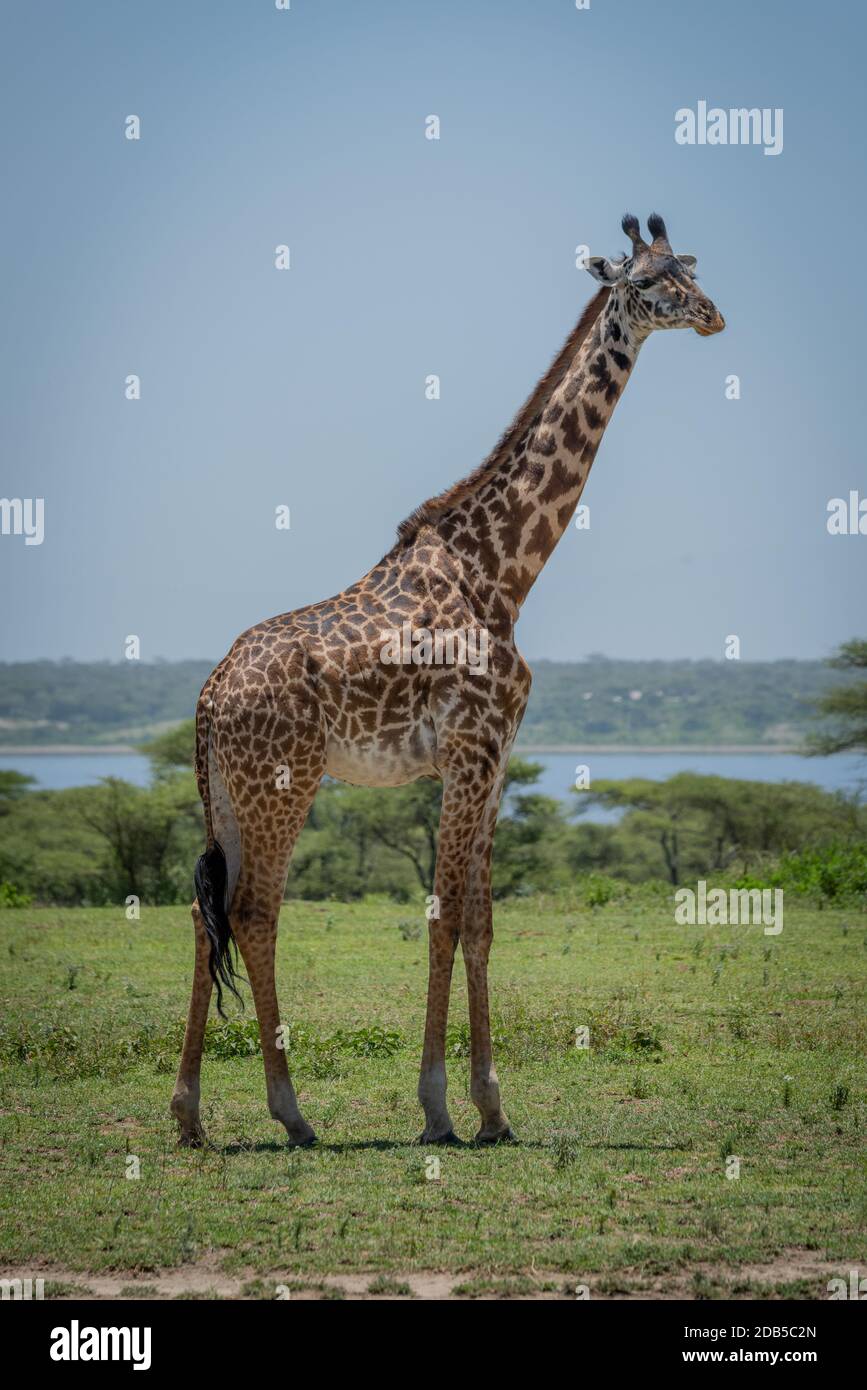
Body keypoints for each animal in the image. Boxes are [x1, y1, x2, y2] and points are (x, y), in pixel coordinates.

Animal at [170, 214, 722, 1150]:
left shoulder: (496, 760)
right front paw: (437, 1109)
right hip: (284, 782)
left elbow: (482, 922)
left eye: (688, 266)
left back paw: (189, 1116)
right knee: (252, 913)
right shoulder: (467, 751)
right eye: (648, 282)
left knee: (206, 911)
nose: (713, 314)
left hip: (230, 795)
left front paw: (492, 1108)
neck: (501, 572)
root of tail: (209, 698)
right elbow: (444, 917)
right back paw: (291, 1113)